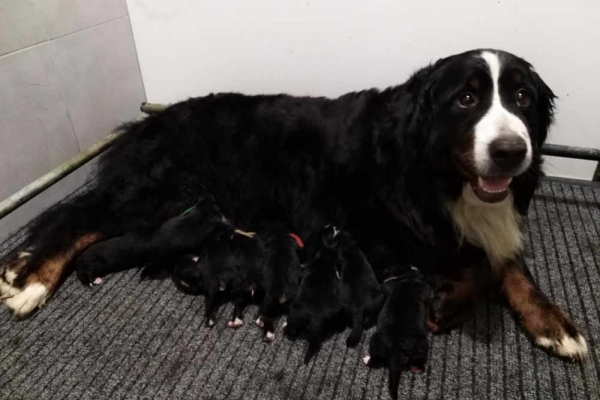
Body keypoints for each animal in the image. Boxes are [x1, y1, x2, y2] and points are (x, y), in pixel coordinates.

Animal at [364, 264, 428, 398]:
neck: (407, 276)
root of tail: (396, 348)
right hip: (421, 343)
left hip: (375, 340)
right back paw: (416, 367)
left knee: (376, 359)